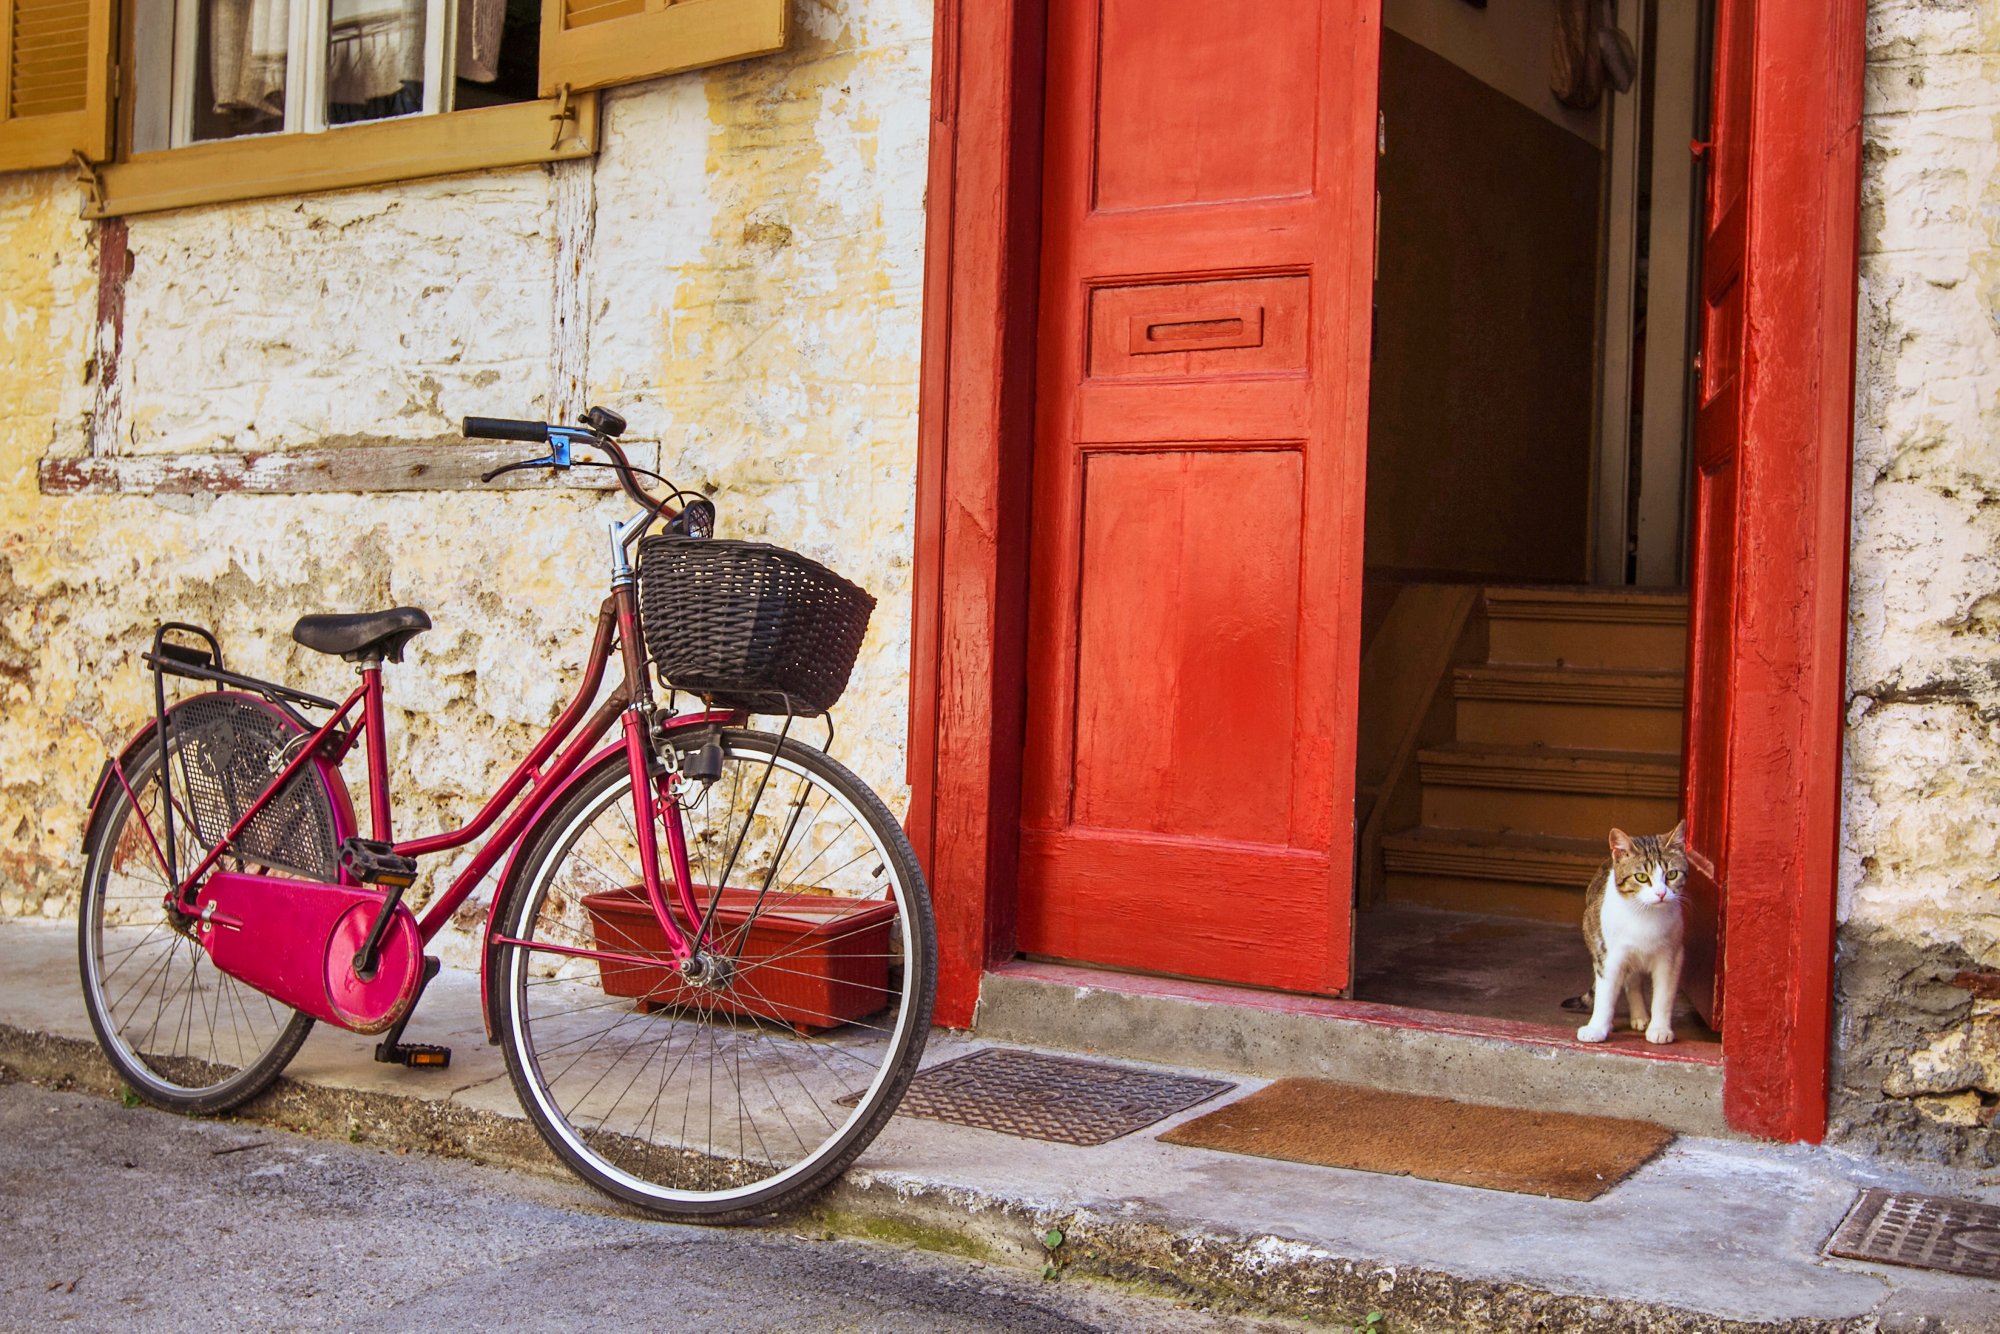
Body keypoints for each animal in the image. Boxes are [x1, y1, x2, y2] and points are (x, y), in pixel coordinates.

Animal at [1576, 820, 1688, 1048]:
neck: (1646, 915)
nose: (1661, 893)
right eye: (1641, 877)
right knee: (1629, 981)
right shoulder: (1607, 955)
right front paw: (1597, 1028)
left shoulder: (1671, 956)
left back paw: (1640, 1017)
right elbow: (1605, 995)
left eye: (1672, 875)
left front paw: (1659, 1029)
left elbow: (1663, 996)